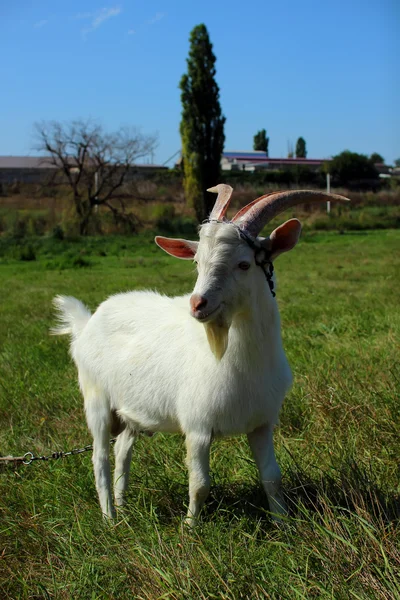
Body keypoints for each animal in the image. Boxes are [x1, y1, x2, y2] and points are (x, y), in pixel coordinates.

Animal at [52, 185, 346, 524]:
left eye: (244, 264)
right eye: (196, 262)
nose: (197, 304)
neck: (240, 361)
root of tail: (87, 322)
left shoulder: (261, 424)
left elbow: (272, 477)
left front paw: (283, 523)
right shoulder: (197, 426)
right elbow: (200, 483)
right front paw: (190, 528)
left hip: (131, 412)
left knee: (123, 450)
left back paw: (123, 508)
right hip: (96, 399)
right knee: (100, 457)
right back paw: (110, 519)